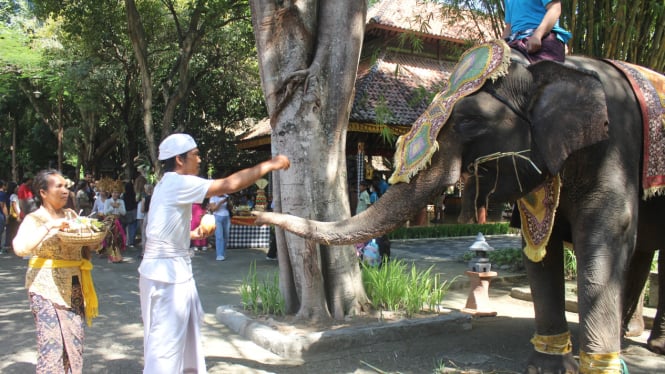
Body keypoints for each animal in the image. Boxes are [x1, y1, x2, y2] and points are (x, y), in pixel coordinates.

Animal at [254, 44, 664, 374]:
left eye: (469, 121)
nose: (257, 212)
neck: (550, 70)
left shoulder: (615, 150)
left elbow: (603, 240)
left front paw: (596, 367)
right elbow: (538, 251)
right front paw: (546, 367)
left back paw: (644, 345)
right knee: (643, 253)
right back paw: (629, 337)